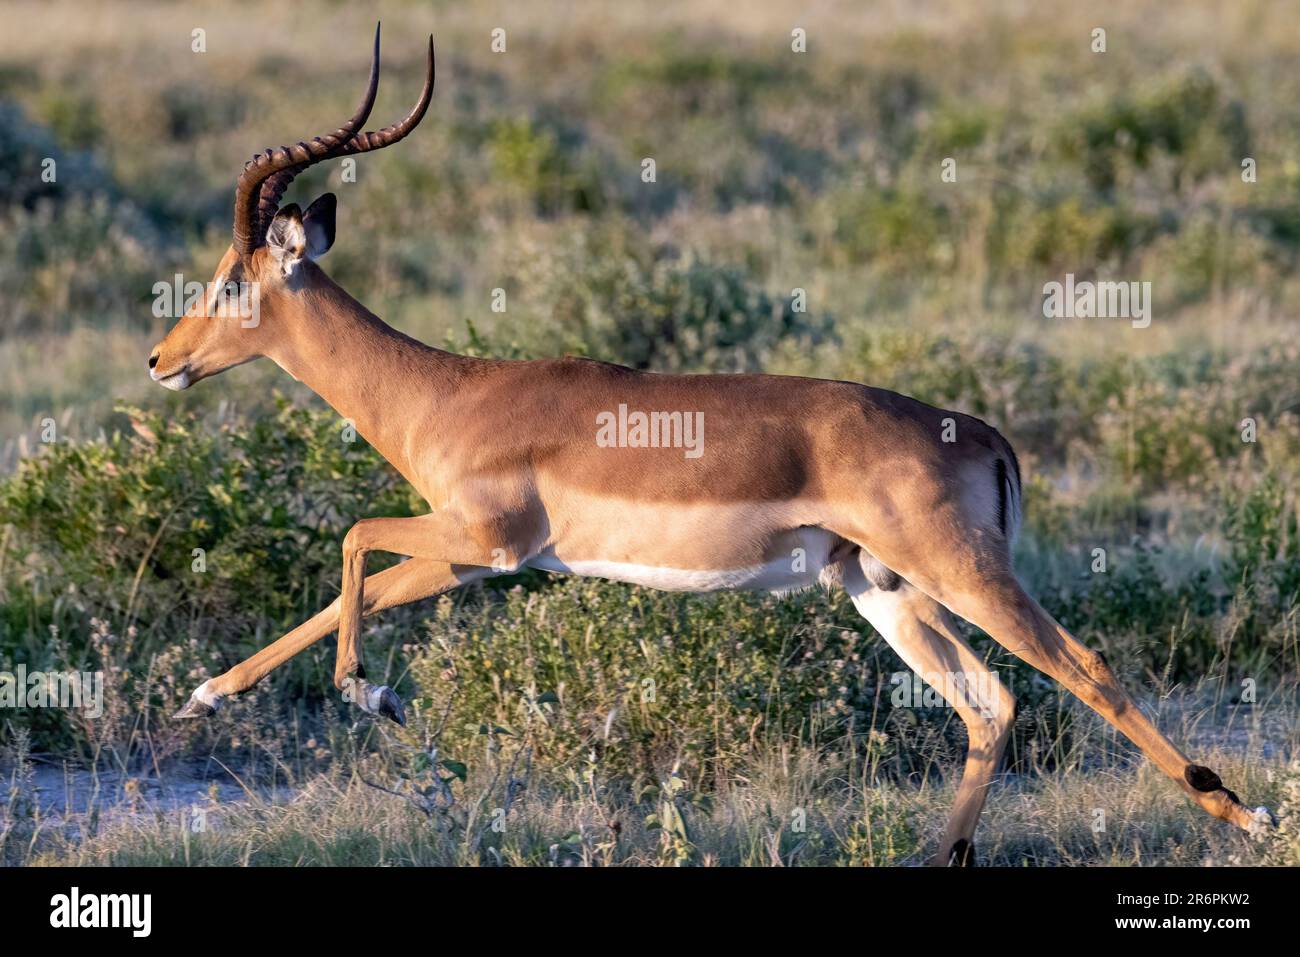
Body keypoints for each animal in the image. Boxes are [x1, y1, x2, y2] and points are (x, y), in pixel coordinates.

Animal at [150, 25, 1274, 865]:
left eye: (231, 278)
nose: (163, 359)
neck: (444, 395)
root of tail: (987, 433)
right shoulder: (474, 559)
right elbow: (359, 585)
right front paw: (204, 697)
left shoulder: (486, 540)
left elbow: (349, 541)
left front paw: (371, 695)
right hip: (881, 587)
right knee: (989, 702)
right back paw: (934, 854)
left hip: (955, 571)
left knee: (1083, 667)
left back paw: (1247, 814)